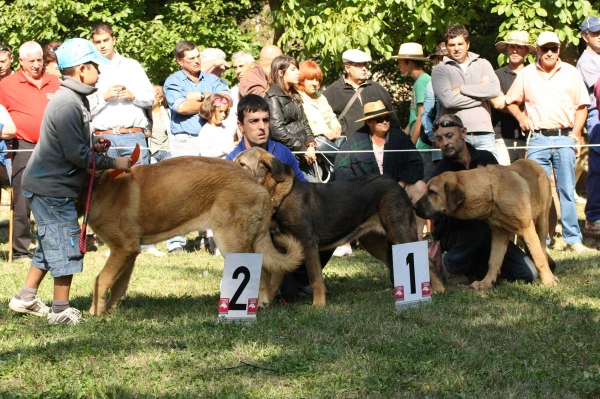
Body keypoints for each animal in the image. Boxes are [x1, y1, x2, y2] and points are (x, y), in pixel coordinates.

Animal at [78, 156, 304, 316]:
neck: (97, 187)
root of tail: (256, 184)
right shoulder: (129, 252)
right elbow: (118, 285)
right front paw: (110, 310)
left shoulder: (122, 249)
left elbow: (101, 279)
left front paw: (95, 312)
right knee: (268, 269)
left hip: (229, 242)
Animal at [234, 148, 446, 308]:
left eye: (241, 164)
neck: (278, 196)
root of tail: (397, 184)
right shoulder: (281, 247)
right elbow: (276, 278)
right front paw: (265, 301)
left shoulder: (307, 243)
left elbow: (315, 279)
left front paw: (318, 305)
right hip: (375, 242)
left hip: (400, 232)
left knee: (427, 260)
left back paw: (438, 290)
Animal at [412, 159, 556, 290]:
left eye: (432, 192)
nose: (414, 206)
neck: (491, 190)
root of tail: (533, 162)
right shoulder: (499, 234)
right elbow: (493, 261)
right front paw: (486, 283)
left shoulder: (527, 229)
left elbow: (539, 258)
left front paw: (548, 282)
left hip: (542, 224)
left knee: (543, 250)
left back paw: (550, 276)